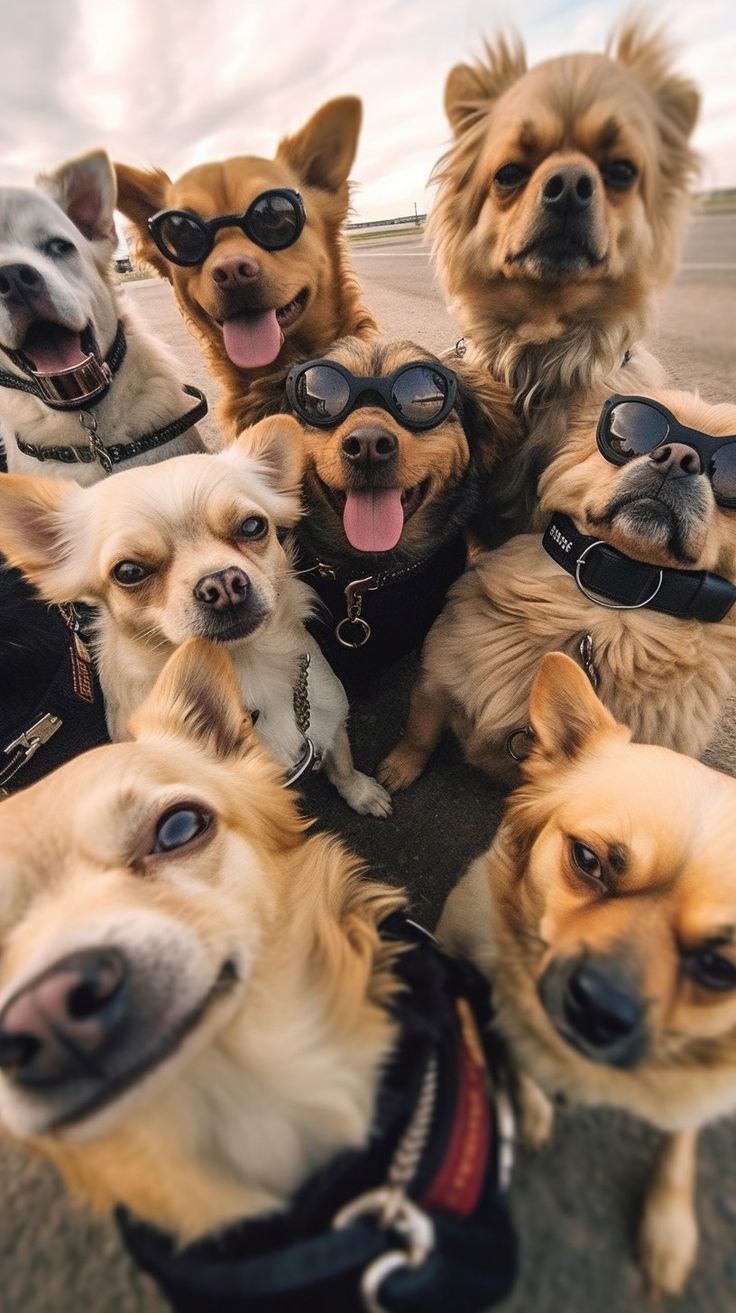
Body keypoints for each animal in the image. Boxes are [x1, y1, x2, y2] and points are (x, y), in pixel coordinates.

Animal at [0, 414, 393, 814]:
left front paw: (361, 792)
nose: (222, 584)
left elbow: (342, 759)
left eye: (253, 526)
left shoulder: (330, 713)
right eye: (129, 572)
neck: (243, 671)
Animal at [377, 383, 736, 793]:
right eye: (630, 433)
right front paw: (398, 768)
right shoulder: (435, 681)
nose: (678, 457)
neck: (611, 605)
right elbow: (419, 733)